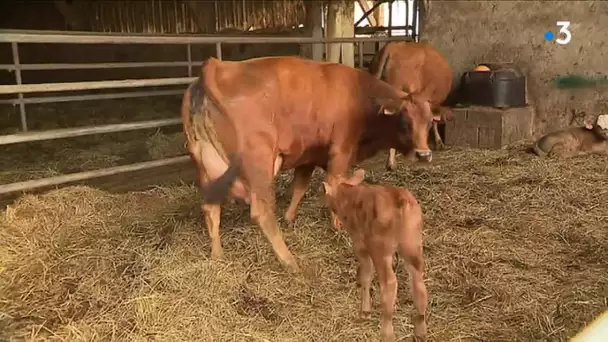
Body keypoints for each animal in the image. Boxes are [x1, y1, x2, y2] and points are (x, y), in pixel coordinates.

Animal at [183, 55, 434, 272]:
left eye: (430, 122)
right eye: (405, 121)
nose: (424, 154)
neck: (359, 94)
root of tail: (213, 67)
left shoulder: (309, 155)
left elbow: (300, 186)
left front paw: (290, 217)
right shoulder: (341, 150)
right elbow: (334, 186)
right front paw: (338, 225)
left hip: (205, 167)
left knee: (211, 208)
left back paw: (217, 254)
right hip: (258, 162)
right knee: (262, 211)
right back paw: (290, 261)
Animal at [324, 168, 428, 342]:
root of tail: (400, 200)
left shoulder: (360, 244)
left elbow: (366, 274)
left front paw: (365, 310)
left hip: (380, 249)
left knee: (389, 284)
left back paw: (387, 333)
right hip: (412, 244)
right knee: (418, 283)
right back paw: (420, 330)